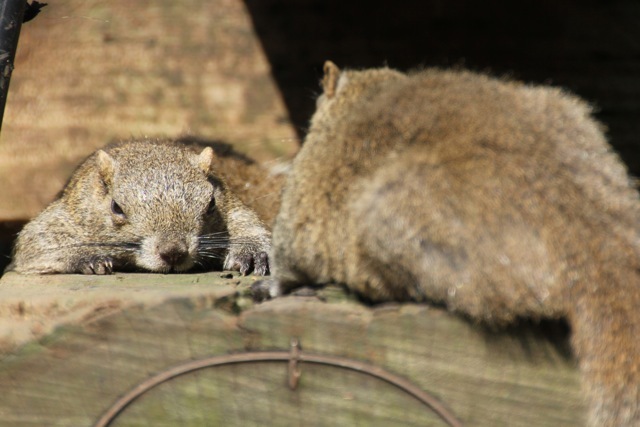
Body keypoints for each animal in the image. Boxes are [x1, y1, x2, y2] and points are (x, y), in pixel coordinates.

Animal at [7, 139, 276, 276]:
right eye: (116, 207)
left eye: (211, 204)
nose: (173, 252)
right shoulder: (67, 214)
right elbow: (36, 242)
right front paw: (88, 256)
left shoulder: (231, 206)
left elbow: (247, 222)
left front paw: (251, 251)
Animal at [264, 61, 640, 426]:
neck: (359, 97)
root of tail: (587, 228)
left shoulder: (302, 196)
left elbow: (289, 258)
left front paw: (268, 286)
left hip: (397, 213)